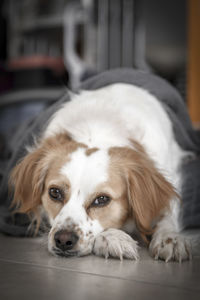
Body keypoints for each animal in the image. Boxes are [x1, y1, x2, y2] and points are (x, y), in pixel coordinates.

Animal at [10, 83, 192, 262]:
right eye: (54, 192)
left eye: (102, 199)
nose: (63, 240)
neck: (99, 128)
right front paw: (113, 237)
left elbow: (166, 213)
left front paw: (170, 237)